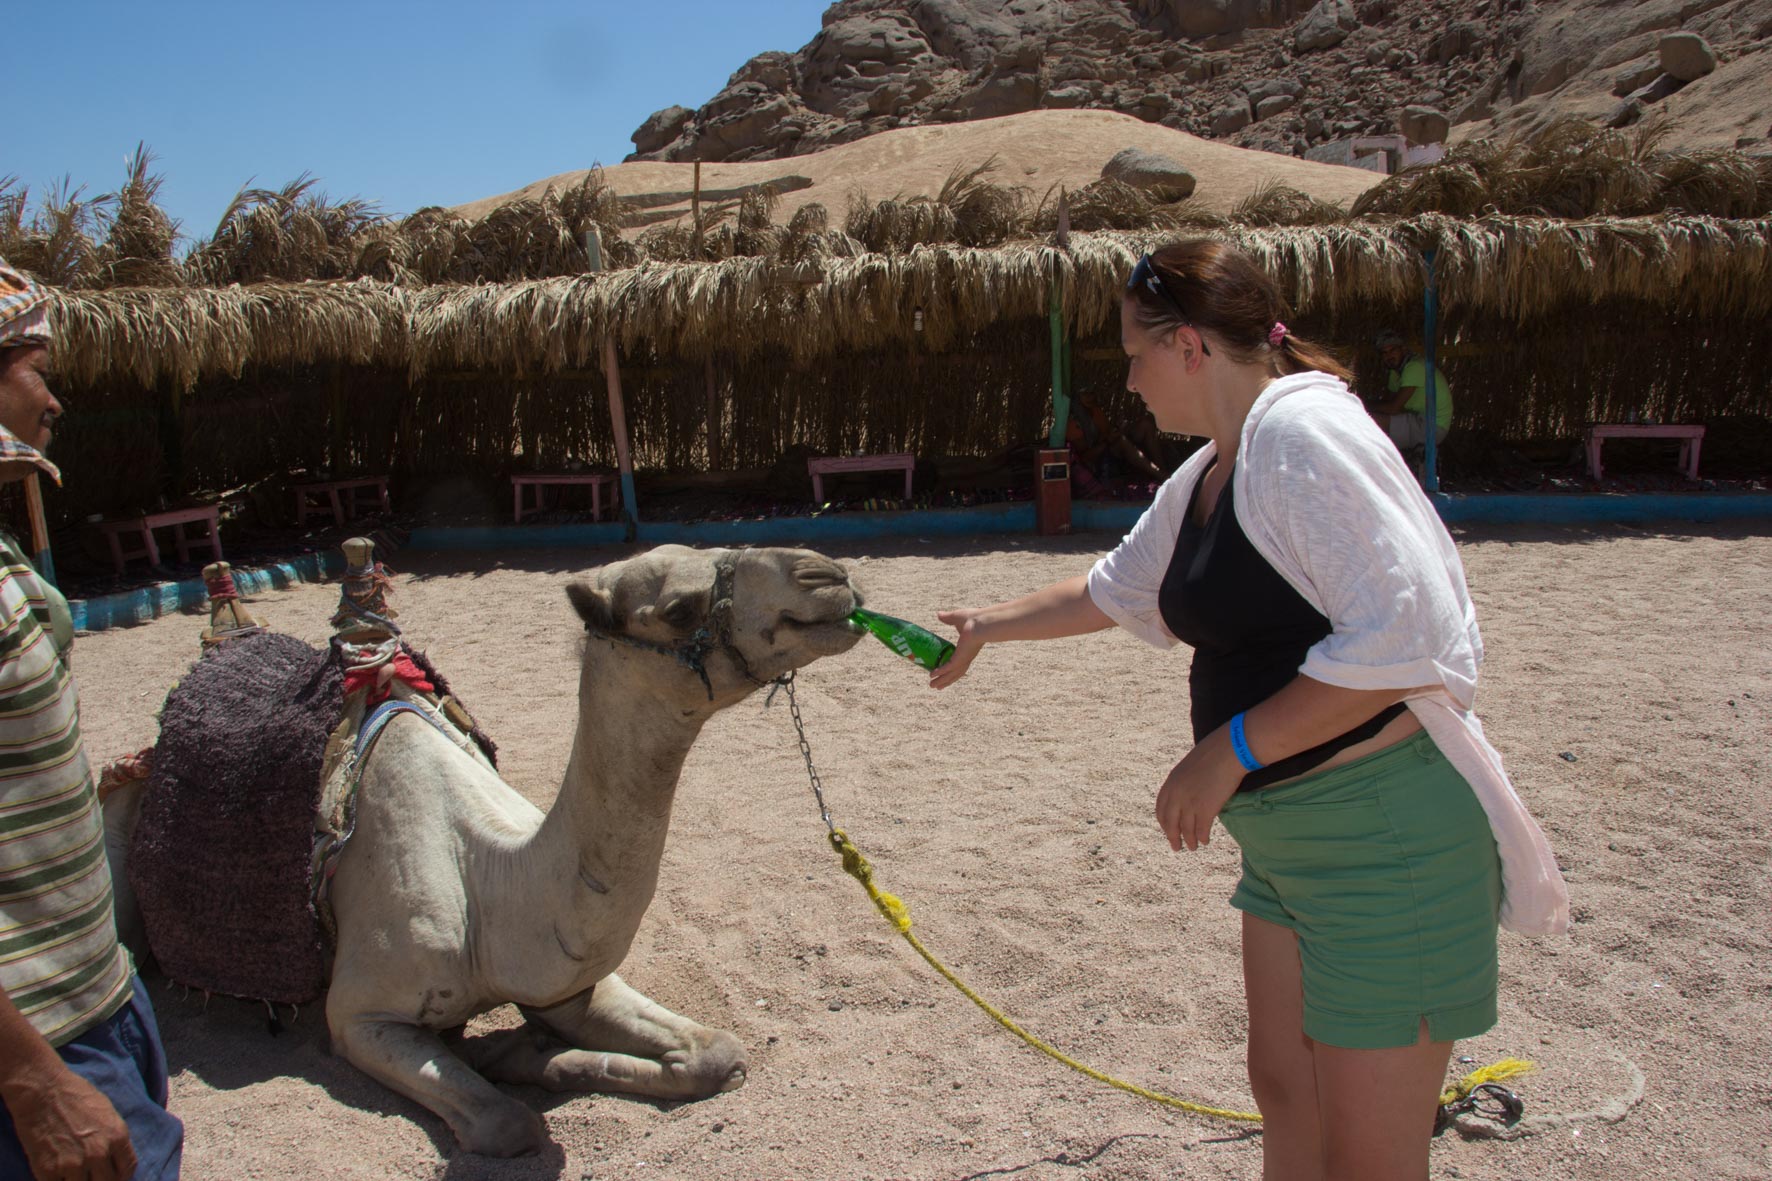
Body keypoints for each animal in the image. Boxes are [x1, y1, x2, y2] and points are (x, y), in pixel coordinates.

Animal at [190, 544, 862, 1155]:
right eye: (678, 608)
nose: (829, 575)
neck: (491, 883)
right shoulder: (358, 1015)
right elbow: (506, 1123)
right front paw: (512, 1058)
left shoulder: (566, 981)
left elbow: (721, 1054)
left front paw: (520, 1051)